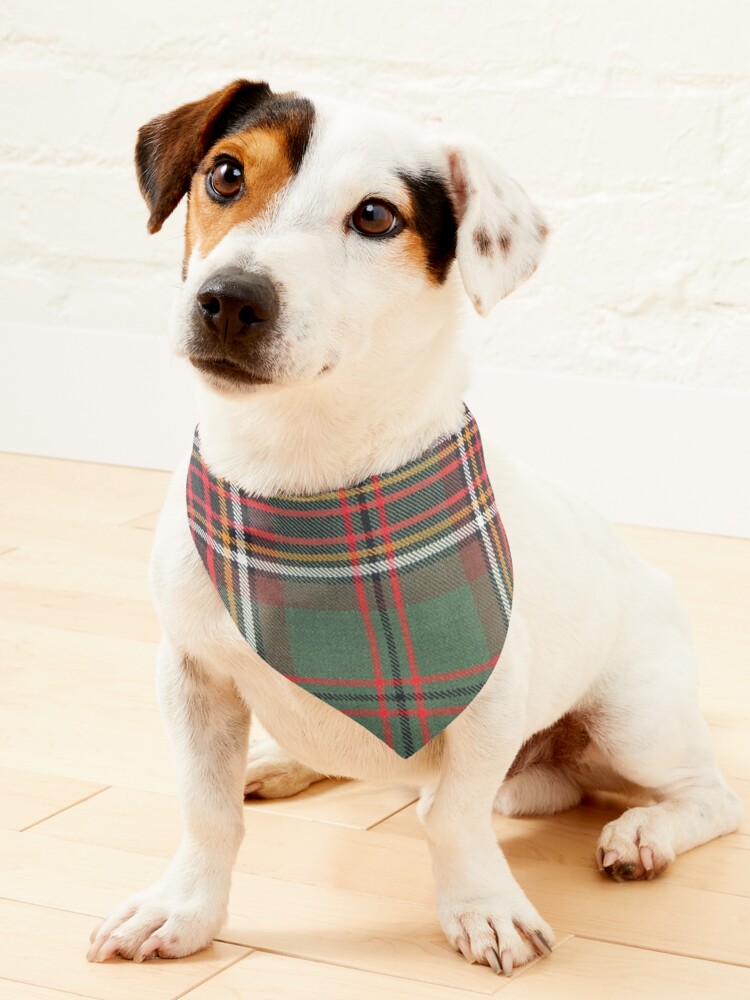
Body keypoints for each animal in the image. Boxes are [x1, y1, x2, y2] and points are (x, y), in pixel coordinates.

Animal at [85, 80, 744, 976]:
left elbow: (453, 817)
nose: (230, 299)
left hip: (634, 719)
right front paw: (183, 909)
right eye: (225, 174)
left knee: (708, 796)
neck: (304, 485)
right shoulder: (192, 676)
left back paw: (644, 833)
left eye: (375, 216)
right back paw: (282, 761)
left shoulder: (489, 701)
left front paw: (483, 908)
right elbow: (206, 811)